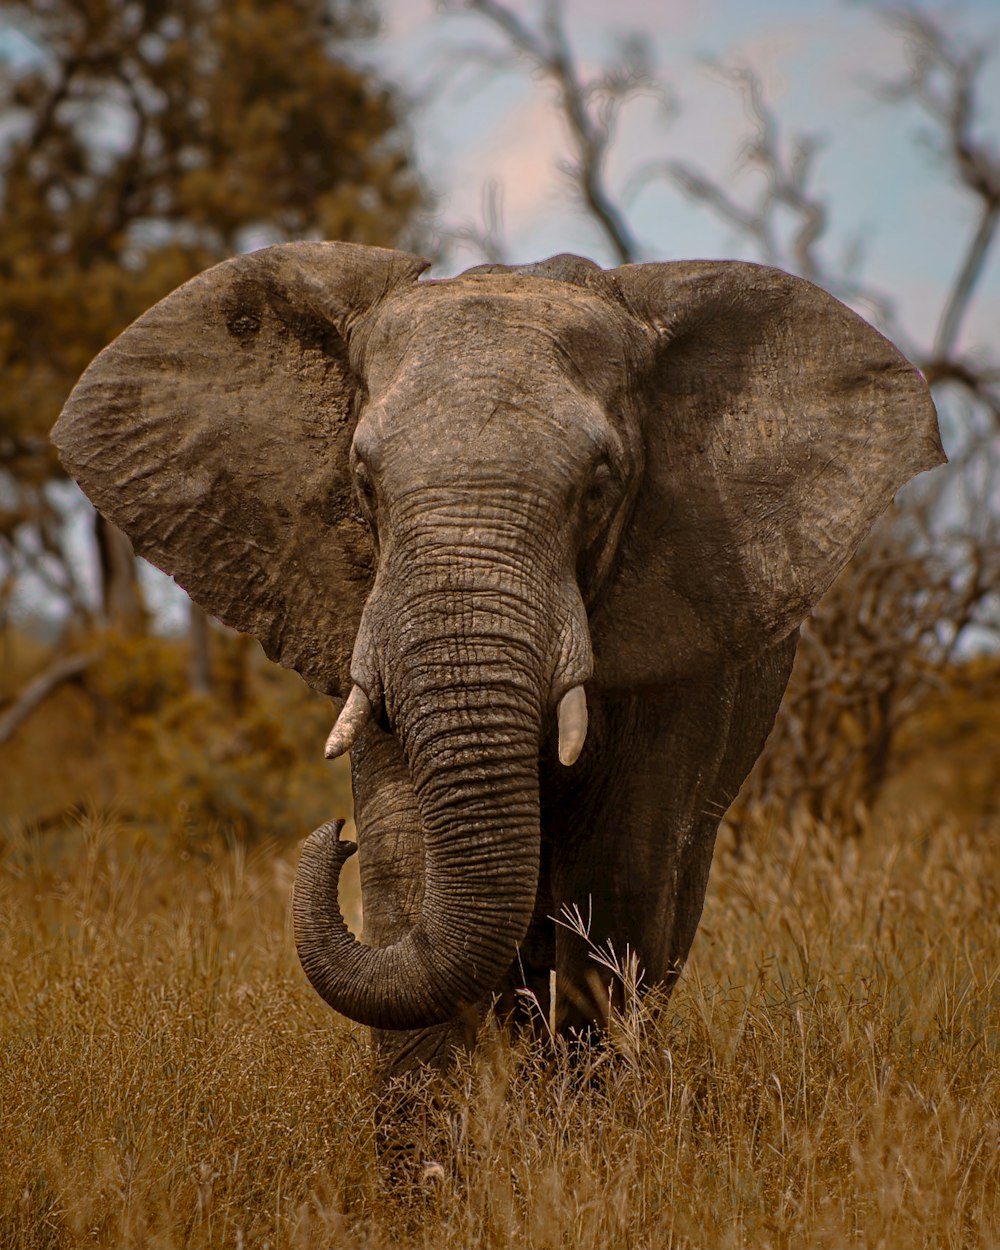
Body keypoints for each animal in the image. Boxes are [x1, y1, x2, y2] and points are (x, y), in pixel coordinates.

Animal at [54, 243, 945, 1085]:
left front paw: (584, 1127)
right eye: (362, 481)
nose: (330, 837)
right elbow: (409, 861)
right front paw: (431, 1149)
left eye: (601, 483)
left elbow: (617, 877)